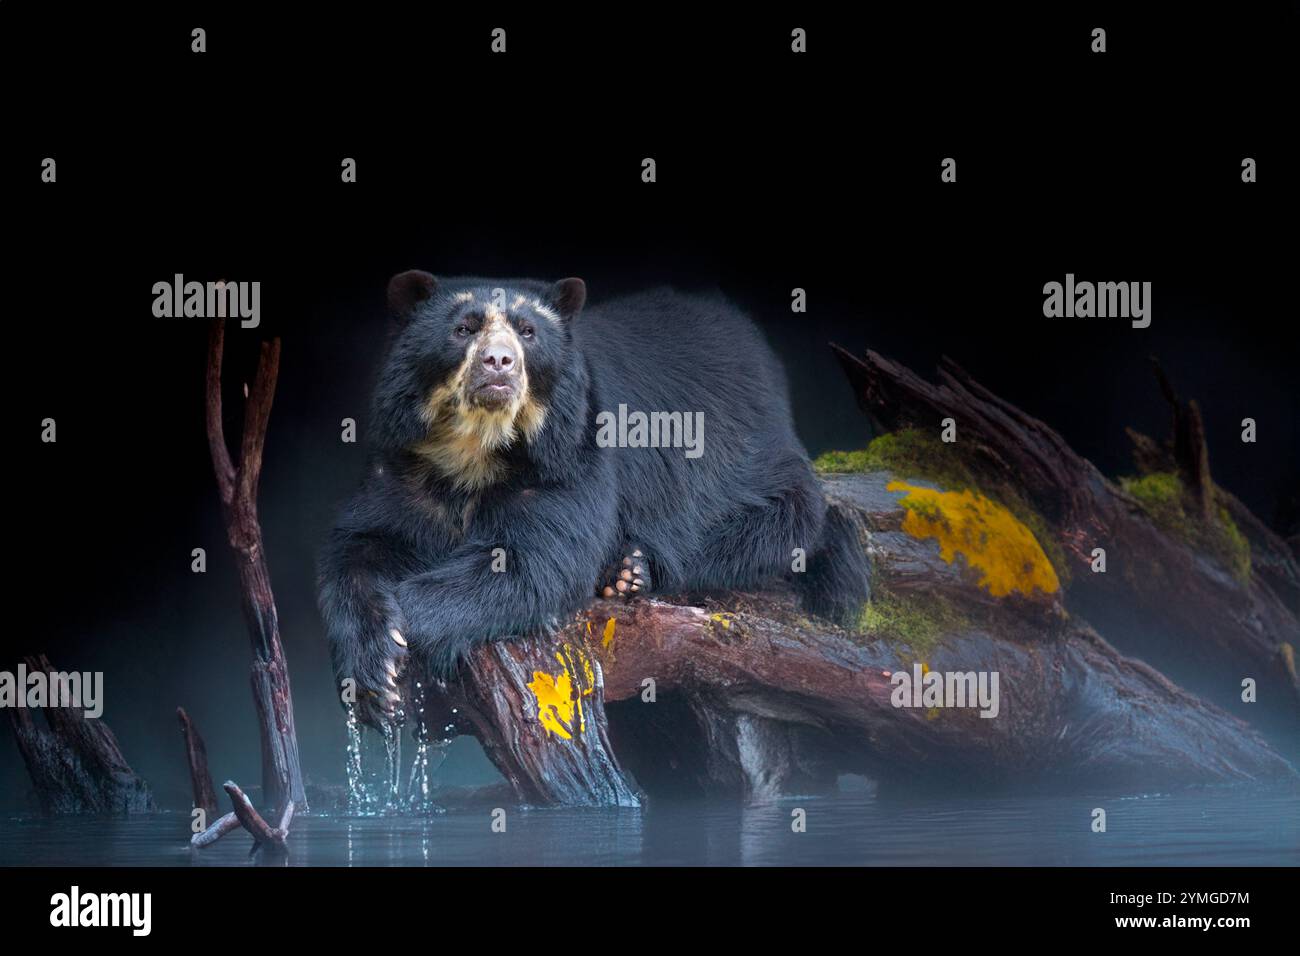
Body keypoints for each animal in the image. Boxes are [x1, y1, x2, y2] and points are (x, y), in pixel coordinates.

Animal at [318, 271, 869, 725]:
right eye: (464, 329)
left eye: (527, 331)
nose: (499, 363)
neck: (478, 447)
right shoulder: (403, 463)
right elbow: (362, 544)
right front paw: (373, 666)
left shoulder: (571, 453)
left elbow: (536, 561)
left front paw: (401, 644)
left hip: (744, 452)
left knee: (790, 518)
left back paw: (633, 571)